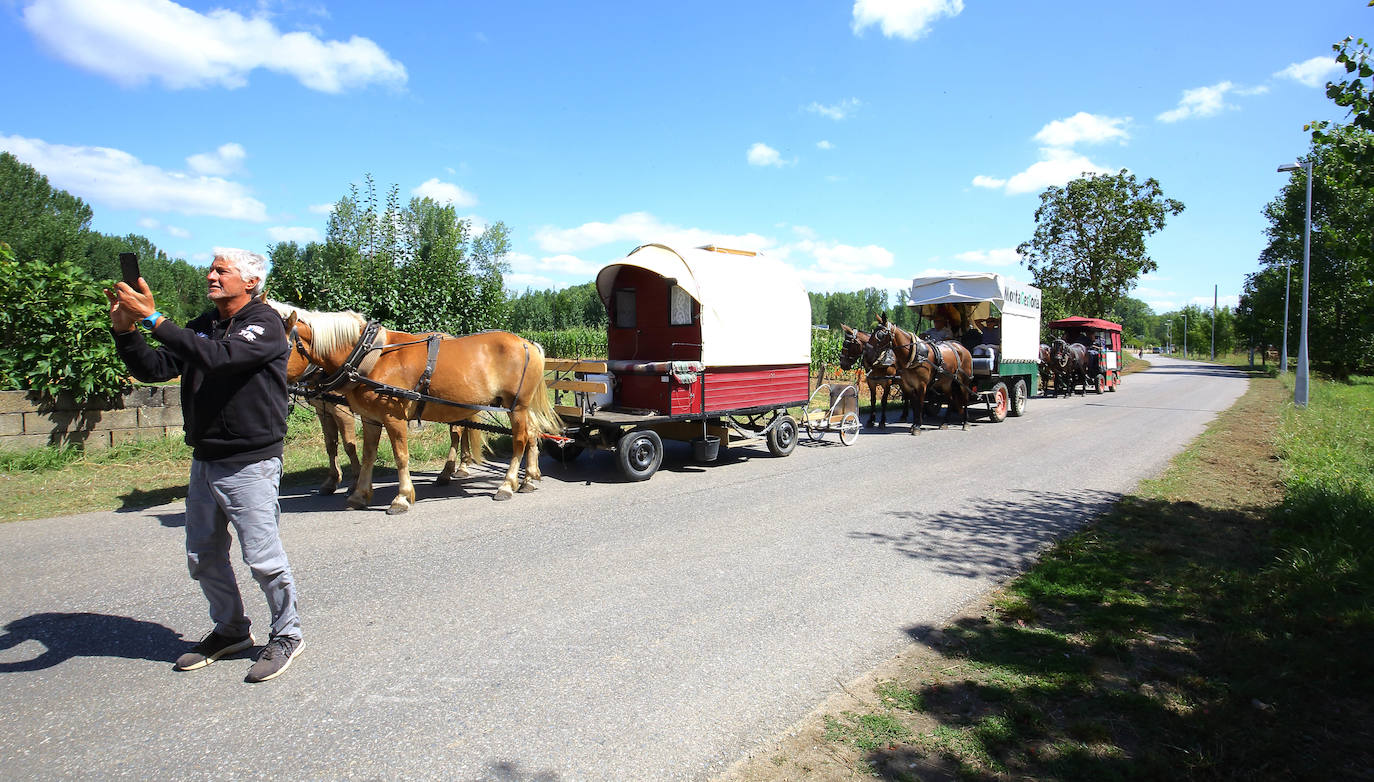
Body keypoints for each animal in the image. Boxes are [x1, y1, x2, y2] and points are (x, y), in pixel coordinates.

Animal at [276, 307, 560, 514]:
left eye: (283, 346)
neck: (370, 356)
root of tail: (528, 343)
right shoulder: (369, 418)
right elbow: (367, 455)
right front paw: (359, 494)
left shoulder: (393, 417)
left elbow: (400, 456)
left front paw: (401, 497)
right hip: (515, 407)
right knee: (532, 434)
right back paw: (528, 478)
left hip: (517, 406)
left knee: (520, 440)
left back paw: (507, 484)